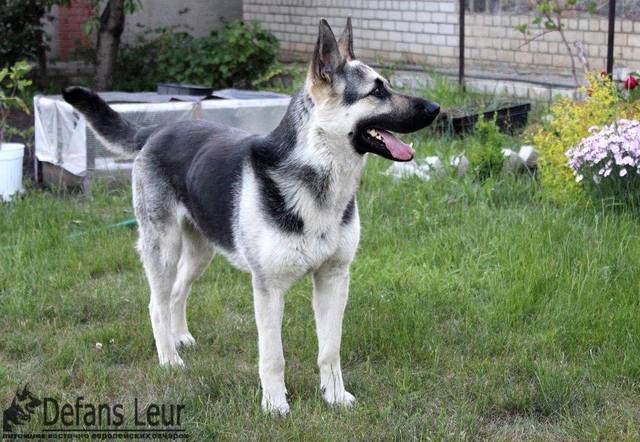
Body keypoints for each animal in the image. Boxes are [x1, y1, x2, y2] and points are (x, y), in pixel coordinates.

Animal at [63, 18, 440, 414]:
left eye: (387, 84)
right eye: (377, 91)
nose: (436, 108)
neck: (316, 171)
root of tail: (158, 129)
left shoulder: (334, 279)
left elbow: (330, 349)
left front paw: (334, 396)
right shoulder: (269, 290)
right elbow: (273, 357)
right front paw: (275, 405)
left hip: (201, 252)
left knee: (178, 292)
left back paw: (180, 338)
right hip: (163, 249)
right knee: (157, 304)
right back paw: (169, 358)